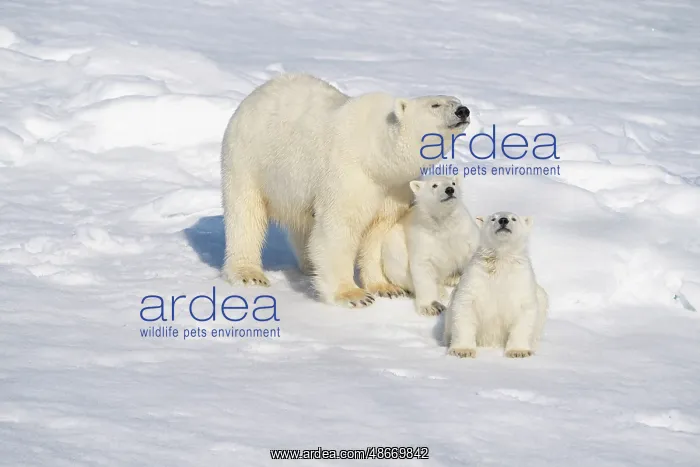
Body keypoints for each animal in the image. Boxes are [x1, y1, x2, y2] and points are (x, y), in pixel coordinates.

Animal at [220, 73, 471, 307]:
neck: (376, 155)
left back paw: (310, 265)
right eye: (435, 105)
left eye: (457, 100)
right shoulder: (350, 174)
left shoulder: (394, 187)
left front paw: (386, 288)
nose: (463, 111)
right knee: (245, 214)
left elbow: (378, 232)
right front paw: (353, 295)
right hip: (249, 158)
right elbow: (340, 227)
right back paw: (249, 273)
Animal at [380, 175, 480, 316]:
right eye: (434, 185)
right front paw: (431, 307)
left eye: (453, 183)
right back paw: (442, 290)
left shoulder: (464, 231)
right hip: (392, 249)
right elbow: (423, 267)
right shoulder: (423, 237)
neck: (443, 223)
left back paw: (453, 278)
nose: (450, 190)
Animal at [443, 211, 549, 358]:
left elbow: (524, 310)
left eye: (514, 218)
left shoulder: (521, 280)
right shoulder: (475, 277)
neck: (501, 259)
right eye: (493, 218)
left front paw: (518, 352)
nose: (503, 220)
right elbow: (465, 306)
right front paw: (463, 350)